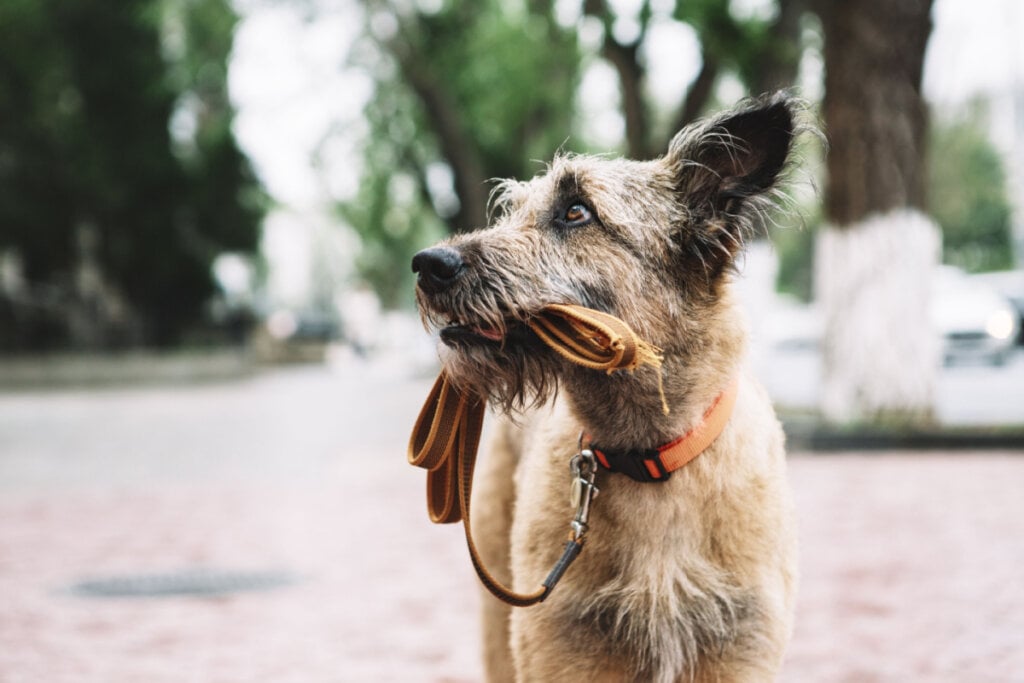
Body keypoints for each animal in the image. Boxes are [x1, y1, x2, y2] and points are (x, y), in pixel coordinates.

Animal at [411, 92, 802, 683]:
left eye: (576, 212)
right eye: (511, 211)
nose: (428, 263)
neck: (651, 456)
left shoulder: (735, 650)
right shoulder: (566, 650)